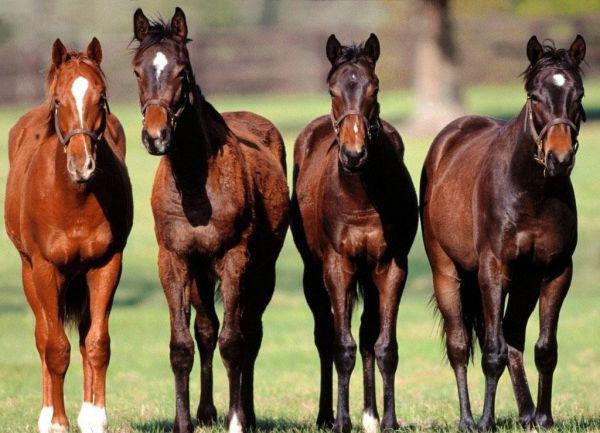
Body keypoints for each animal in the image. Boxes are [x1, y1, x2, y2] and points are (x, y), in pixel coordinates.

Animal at [4, 36, 132, 432]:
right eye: (59, 101)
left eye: (101, 98)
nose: (82, 165)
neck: (73, 198)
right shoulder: (46, 269)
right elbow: (54, 346)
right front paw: (58, 422)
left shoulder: (106, 265)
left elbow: (97, 343)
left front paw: (95, 416)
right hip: (29, 273)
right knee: (43, 336)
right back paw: (47, 413)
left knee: (85, 336)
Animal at [132, 7, 290, 432]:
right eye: (137, 71)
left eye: (182, 71)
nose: (156, 136)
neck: (194, 187)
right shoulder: (173, 261)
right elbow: (182, 345)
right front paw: (184, 422)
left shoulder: (235, 260)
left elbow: (234, 342)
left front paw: (236, 420)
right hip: (201, 275)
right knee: (206, 330)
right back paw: (206, 412)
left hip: (261, 272)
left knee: (250, 332)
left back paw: (246, 413)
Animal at [290, 33, 418, 432]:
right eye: (332, 90)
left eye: (373, 88)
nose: (354, 153)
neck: (361, 194)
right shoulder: (337, 267)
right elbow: (340, 346)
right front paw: (342, 421)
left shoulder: (391, 266)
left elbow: (384, 346)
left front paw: (388, 420)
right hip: (313, 274)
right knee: (325, 335)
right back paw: (326, 415)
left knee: (366, 335)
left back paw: (370, 415)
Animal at [420, 35, 584, 430]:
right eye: (534, 97)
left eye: (578, 95)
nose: (559, 159)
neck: (532, 192)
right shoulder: (493, 271)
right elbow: (490, 352)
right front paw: (485, 422)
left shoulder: (556, 272)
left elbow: (545, 349)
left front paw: (544, 419)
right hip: (447, 272)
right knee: (460, 344)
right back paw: (467, 419)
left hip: (525, 283)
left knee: (513, 337)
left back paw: (526, 413)